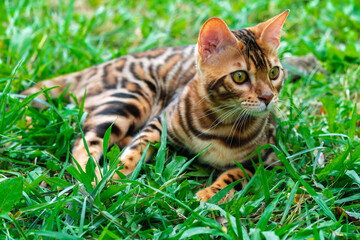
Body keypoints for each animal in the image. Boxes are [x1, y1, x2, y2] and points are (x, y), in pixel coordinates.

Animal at [23, 10, 290, 202]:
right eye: (240, 77)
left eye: (274, 73)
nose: (268, 97)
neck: (221, 124)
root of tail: (96, 67)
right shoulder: (159, 123)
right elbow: (134, 151)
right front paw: (112, 176)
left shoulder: (269, 158)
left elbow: (236, 174)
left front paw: (211, 193)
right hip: (132, 97)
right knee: (83, 144)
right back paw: (90, 174)